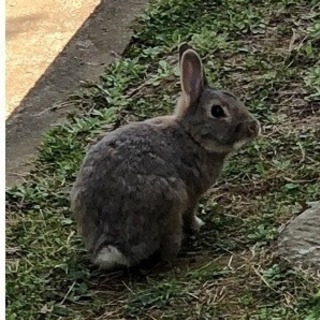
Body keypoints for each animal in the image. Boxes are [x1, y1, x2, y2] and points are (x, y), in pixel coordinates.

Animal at [70, 42, 260, 270]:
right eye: (217, 111)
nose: (254, 127)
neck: (191, 135)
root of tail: (112, 245)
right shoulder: (192, 195)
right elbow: (190, 213)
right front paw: (198, 224)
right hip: (171, 202)